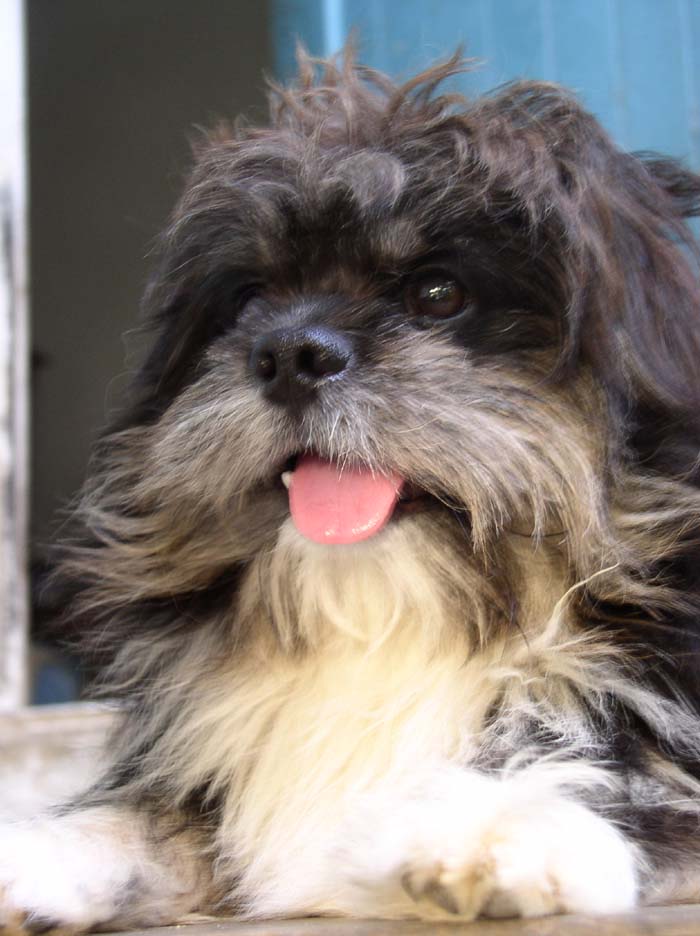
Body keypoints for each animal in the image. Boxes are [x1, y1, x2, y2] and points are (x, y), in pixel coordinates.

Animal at [4, 51, 700, 928]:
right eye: (250, 299)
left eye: (438, 293)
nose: (289, 355)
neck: (390, 627)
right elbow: (141, 822)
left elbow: (627, 790)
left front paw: (495, 827)